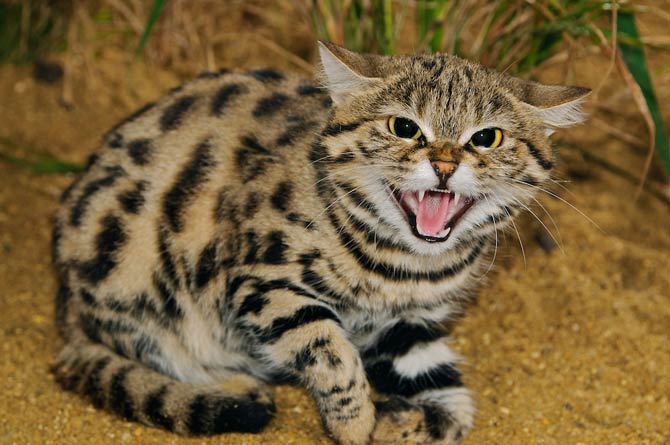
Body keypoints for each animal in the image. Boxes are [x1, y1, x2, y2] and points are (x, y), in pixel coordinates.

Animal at [51, 40, 588, 440]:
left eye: (487, 138)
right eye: (403, 126)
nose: (444, 165)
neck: (405, 267)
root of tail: (66, 306)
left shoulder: (410, 320)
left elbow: (449, 397)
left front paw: (409, 420)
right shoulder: (257, 283)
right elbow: (328, 346)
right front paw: (355, 423)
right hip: (130, 264)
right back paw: (234, 387)